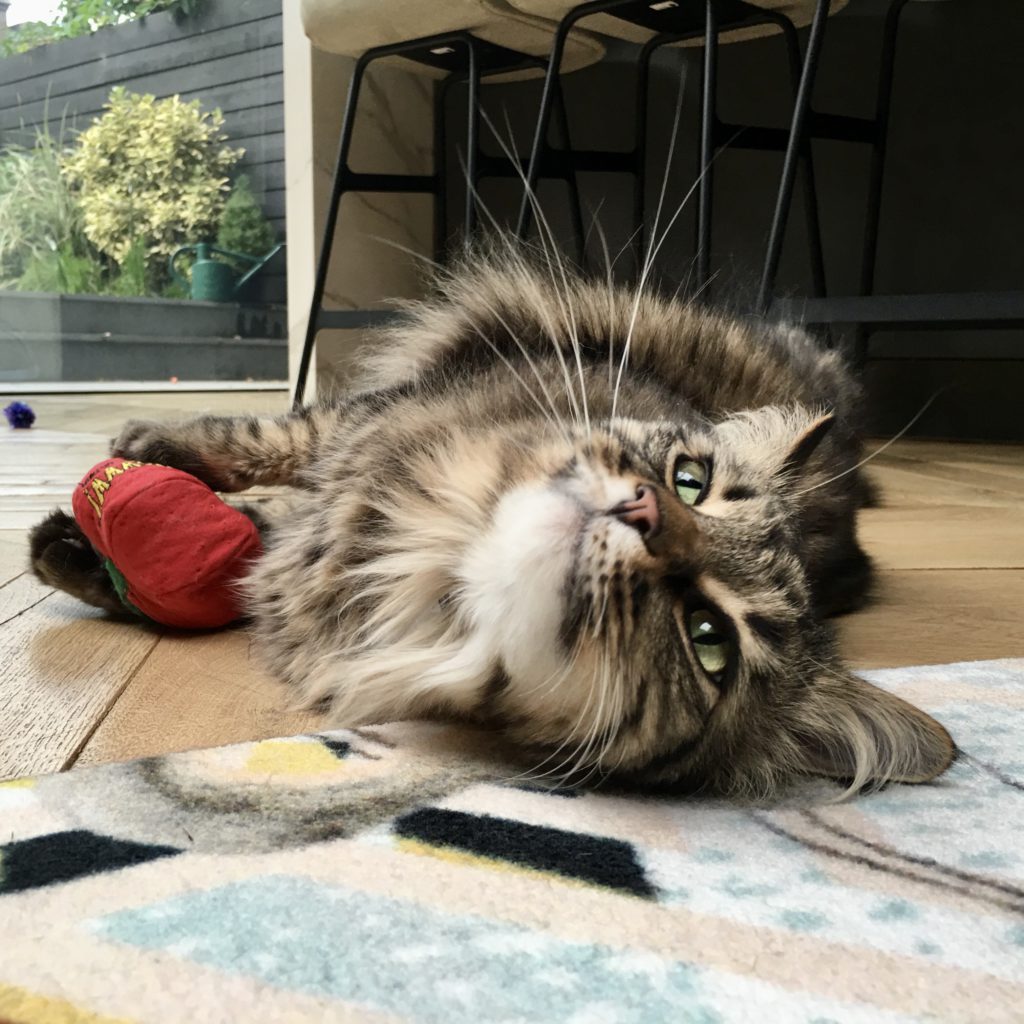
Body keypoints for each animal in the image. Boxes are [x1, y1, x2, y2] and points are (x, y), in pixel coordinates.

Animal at [34, 249, 958, 798]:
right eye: (691, 483)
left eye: (709, 641)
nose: (644, 510)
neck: (423, 556)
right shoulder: (371, 417)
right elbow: (271, 440)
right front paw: (144, 461)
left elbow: (251, 541)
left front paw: (100, 549)